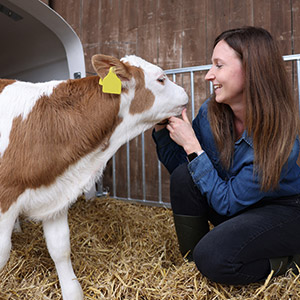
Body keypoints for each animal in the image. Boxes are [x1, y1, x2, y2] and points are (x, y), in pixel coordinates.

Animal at [0, 54, 188, 300]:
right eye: (161, 79)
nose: (185, 93)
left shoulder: (55, 193)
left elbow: (60, 248)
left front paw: (72, 292)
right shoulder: (5, 198)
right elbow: (3, 252)